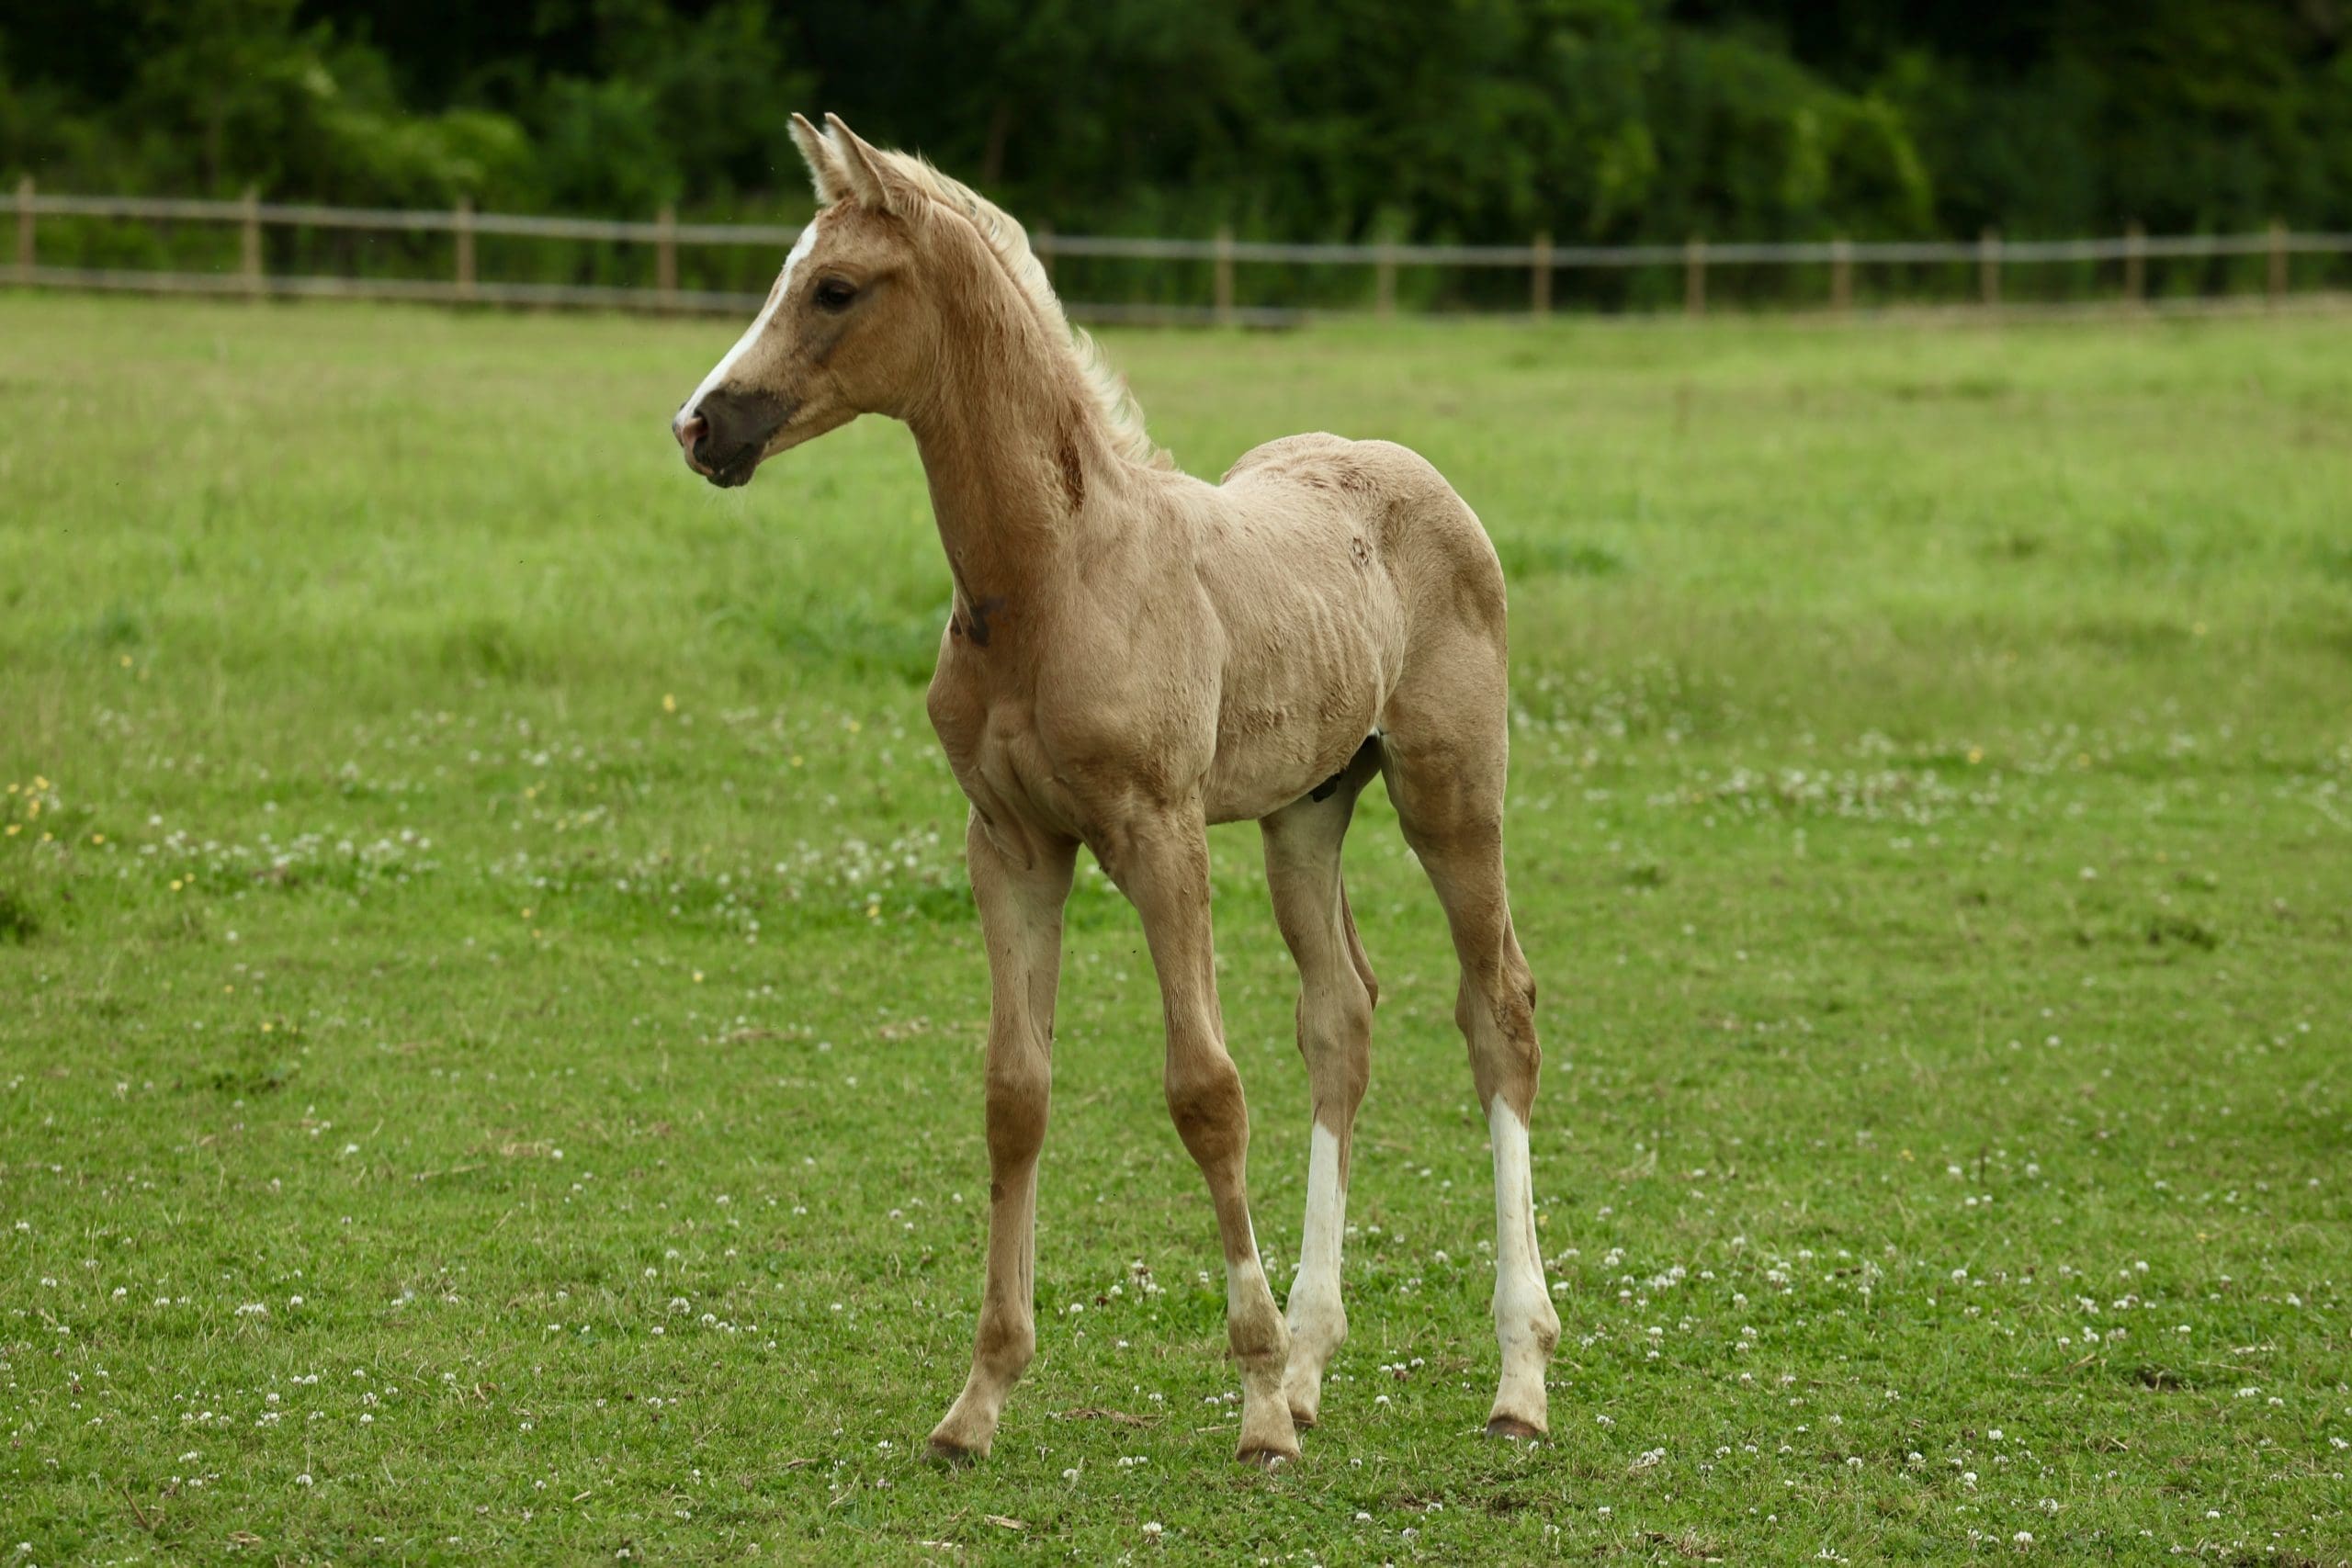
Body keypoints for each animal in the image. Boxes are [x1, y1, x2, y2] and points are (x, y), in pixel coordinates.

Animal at [673, 116, 1561, 1466]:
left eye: (834, 288)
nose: (702, 427)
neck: (1054, 576)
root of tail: (1414, 472)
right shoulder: (1011, 843)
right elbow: (1015, 1094)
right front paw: (978, 1400)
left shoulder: (1158, 833)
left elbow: (1205, 1090)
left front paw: (1255, 1409)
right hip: (1307, 810)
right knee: (1340, 1016)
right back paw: (1315, 1360)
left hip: (1448, 788)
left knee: (1495, 1007)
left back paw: (1513, 1378)